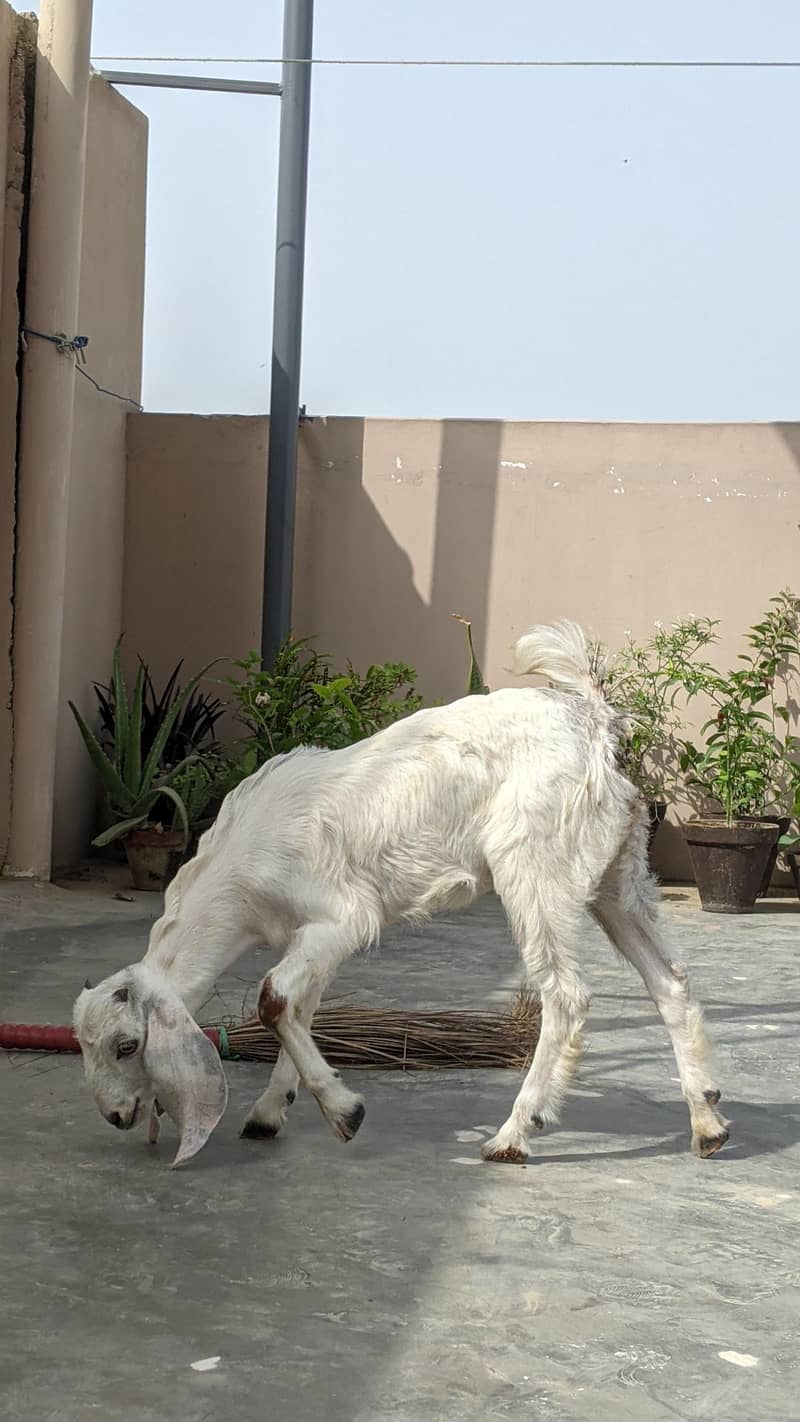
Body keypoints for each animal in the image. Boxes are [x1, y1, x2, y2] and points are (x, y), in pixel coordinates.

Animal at [73, 621, 728, 1167]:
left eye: (128, 1046)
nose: (115, 1116)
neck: (239, 869)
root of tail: (590, 720)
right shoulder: (315, 938)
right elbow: (297, 1007)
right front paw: (270, 1113)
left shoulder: (344, 917)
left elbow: (273, 999)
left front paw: (345, 1113)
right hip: (616, 873)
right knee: (670, 981)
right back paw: (708, 1124)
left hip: (535, 868)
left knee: (566, 995)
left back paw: (513, 1134)